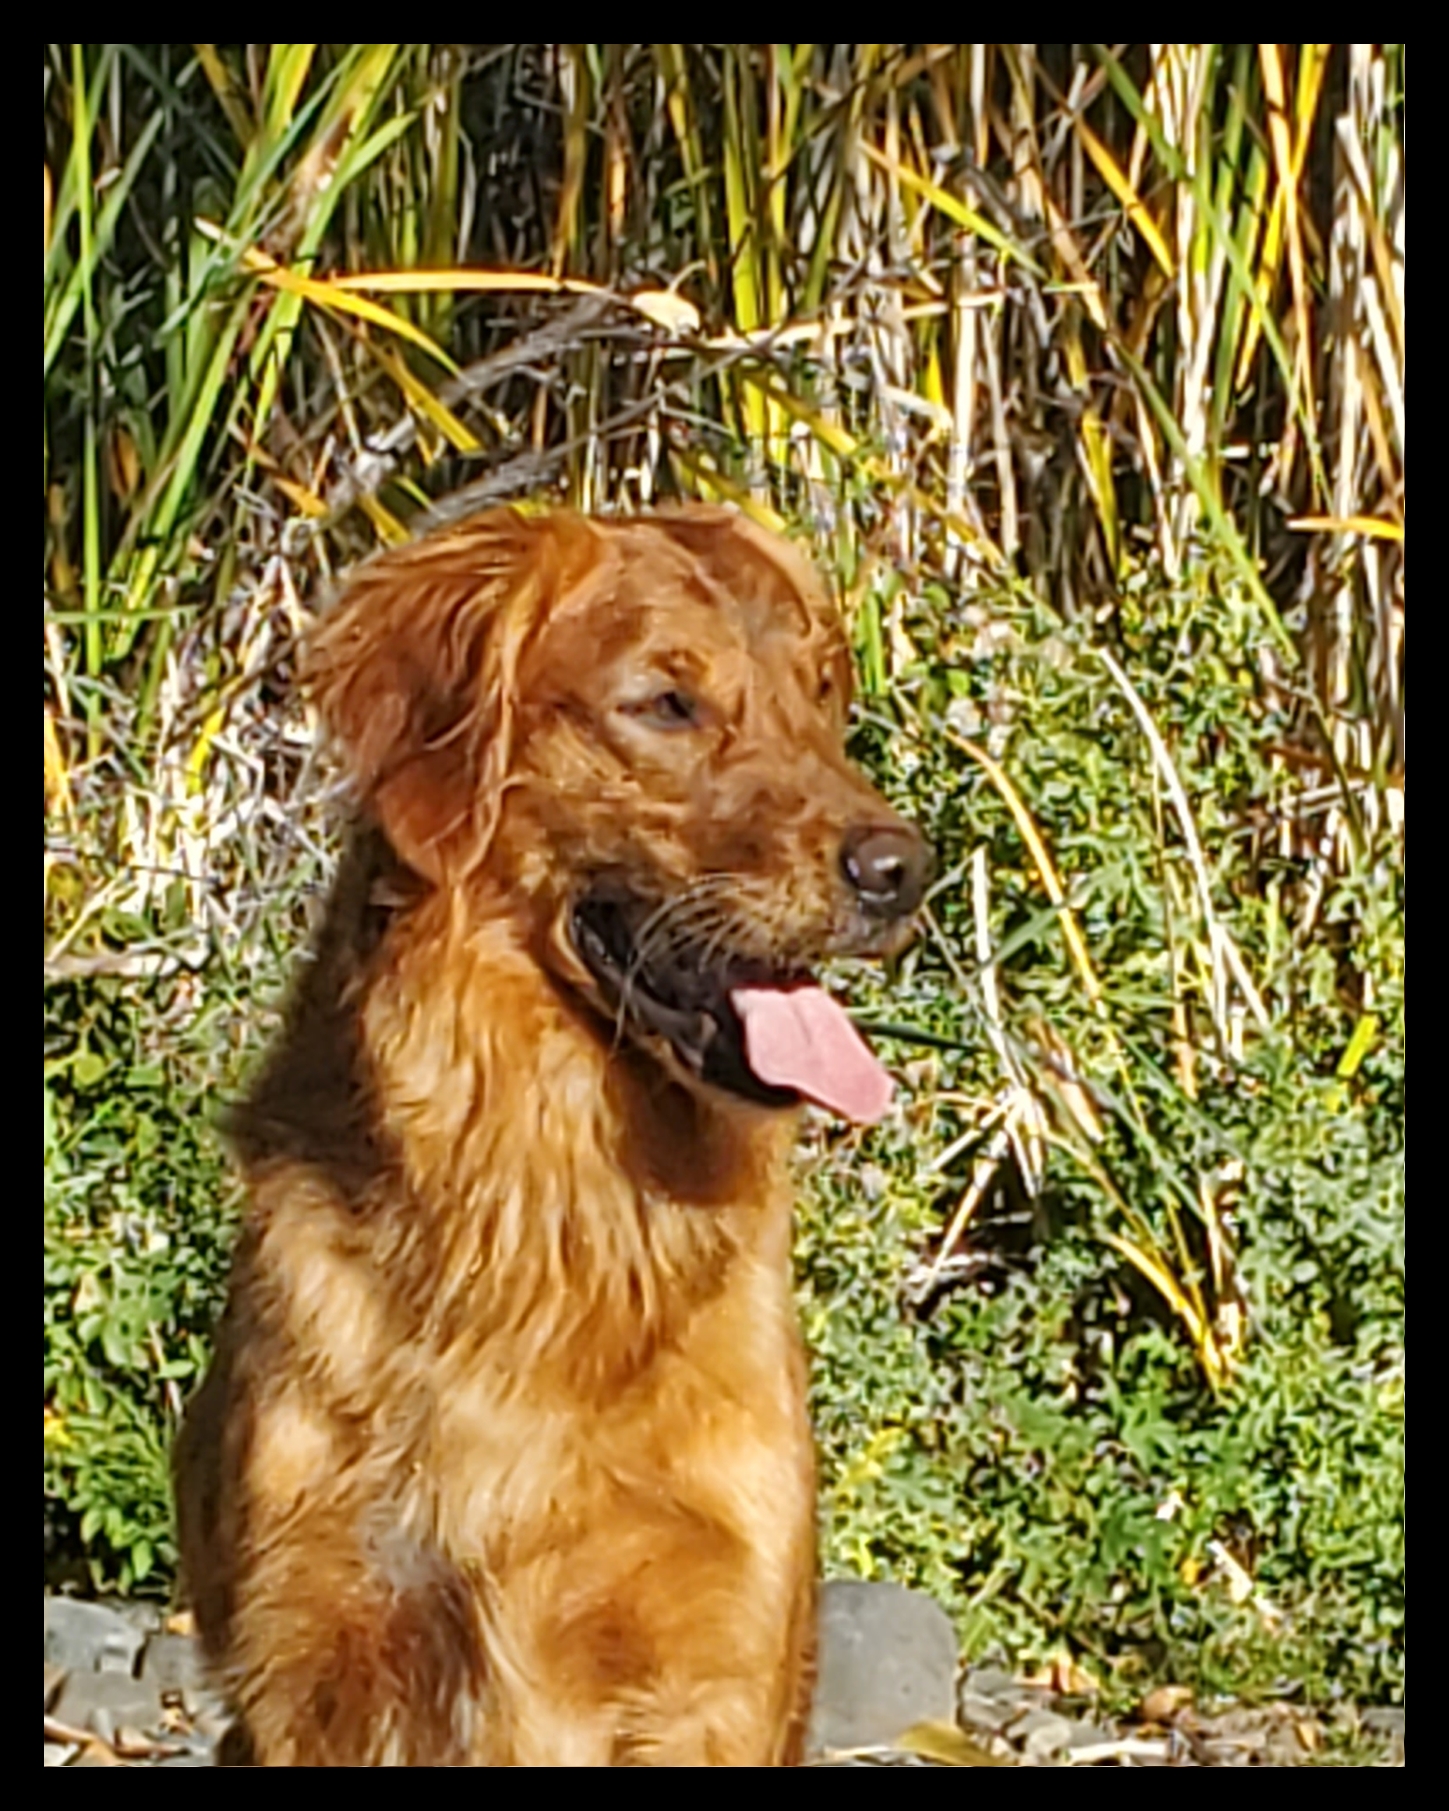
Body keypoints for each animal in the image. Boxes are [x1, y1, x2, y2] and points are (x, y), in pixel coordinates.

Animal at [175, 503, 927, 1760]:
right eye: (667, 703)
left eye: (820, 690)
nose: (901, 870)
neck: (552, 1205)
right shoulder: (311, 1640)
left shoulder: (718, 1653)